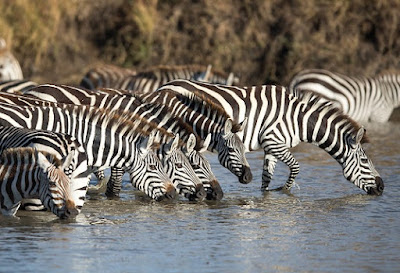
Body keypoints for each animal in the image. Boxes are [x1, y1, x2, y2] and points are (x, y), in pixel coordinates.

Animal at [156, 79, 384, 194]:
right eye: (365, 161)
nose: (382, 187)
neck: (298, 120)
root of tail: (163, 86)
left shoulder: (271, 148)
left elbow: (266, 178)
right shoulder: (274, 141)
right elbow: (296, 167)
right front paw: (284, 190)